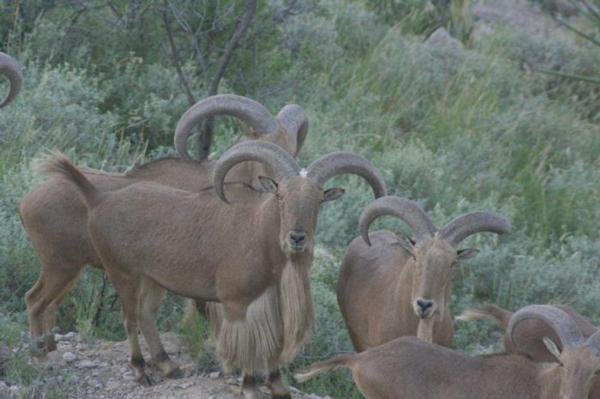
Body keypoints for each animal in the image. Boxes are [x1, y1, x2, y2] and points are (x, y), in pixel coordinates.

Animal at [43, 141, 390, 399]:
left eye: (318, 201)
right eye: (280, 195)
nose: (297, 238)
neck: (259, 236)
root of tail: (99, 198)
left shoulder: (272, 302)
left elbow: (273, 342)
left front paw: (277, 385)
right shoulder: (237, 303)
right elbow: (248, 344)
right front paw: (249, 386)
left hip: (152, 279)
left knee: (146, 315)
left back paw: (169, 367)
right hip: (122, 272)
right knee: (129, 319)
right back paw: (141, 372)